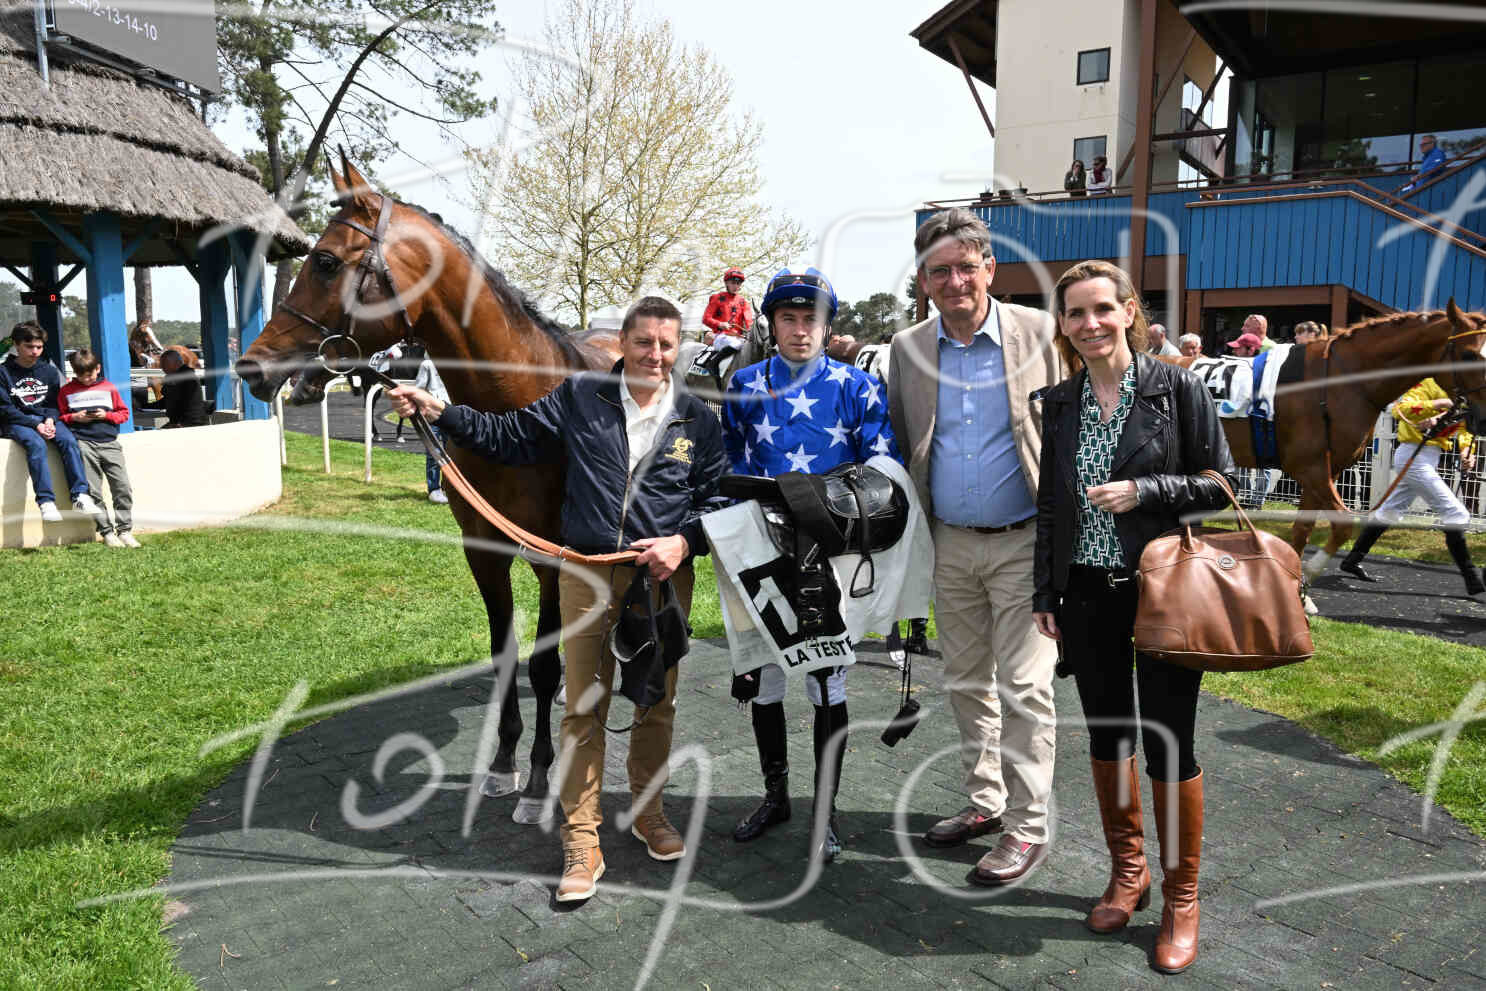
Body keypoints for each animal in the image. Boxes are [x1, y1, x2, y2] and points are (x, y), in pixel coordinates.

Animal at [236, 157, 623, 823]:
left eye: (327, 261)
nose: (251, 367)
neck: (517, 409)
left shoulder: (552, 556)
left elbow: (544, 664)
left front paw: (538, 781)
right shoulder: (484, 550)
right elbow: (505, 653)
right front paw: (503, 765)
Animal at [1165, 302, 1486, 579]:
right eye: (1470, 355)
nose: (1481, 417)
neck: (1342, 382)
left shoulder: (1322, 473)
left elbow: (1303, 529)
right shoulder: (1311, 469)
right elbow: (1344, 525)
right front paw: (1309, 573)